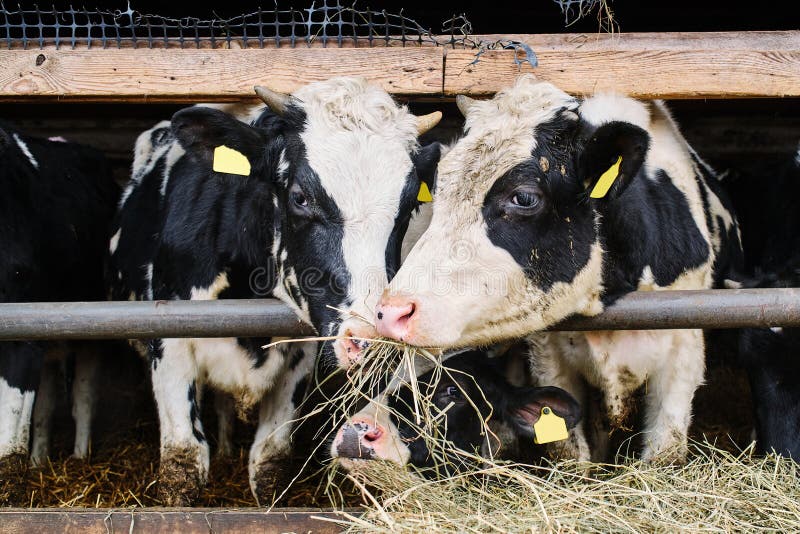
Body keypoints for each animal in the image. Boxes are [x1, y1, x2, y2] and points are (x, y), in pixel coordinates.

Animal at [0, 120, 117, 502]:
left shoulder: (21, 332)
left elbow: (10, 418)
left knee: (83, 395)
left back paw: (80, 459)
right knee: (46, 405)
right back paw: (39, 461)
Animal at [108, 78, 444, 506]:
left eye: (408, 207)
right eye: (300, 197)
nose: (373, 338)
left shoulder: (301, 350)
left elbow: (269, 462)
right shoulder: (168, 340)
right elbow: (183, 462)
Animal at [366, 75, 740, 464]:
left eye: (524, 197)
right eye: (438, 190)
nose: (391, 312)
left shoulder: (683, 350)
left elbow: (665, 450)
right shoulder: (549, 356)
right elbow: (569, 452)